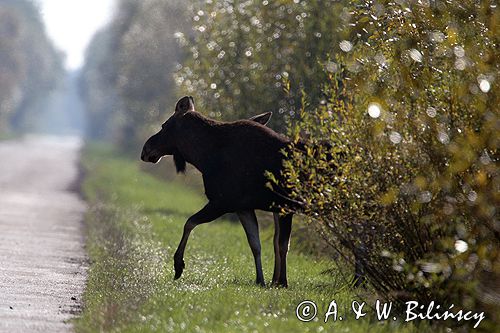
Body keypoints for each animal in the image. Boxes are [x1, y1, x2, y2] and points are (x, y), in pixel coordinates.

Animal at [140, 95, 300, 286]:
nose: (145, 149)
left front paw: (178, 265)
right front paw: (261, 280)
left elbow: (189, 222)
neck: (204, 158)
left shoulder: (223, 202)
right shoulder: (243, 207)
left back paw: (281, 281)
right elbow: (256, 244)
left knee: (282, 243)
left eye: (164, 125)